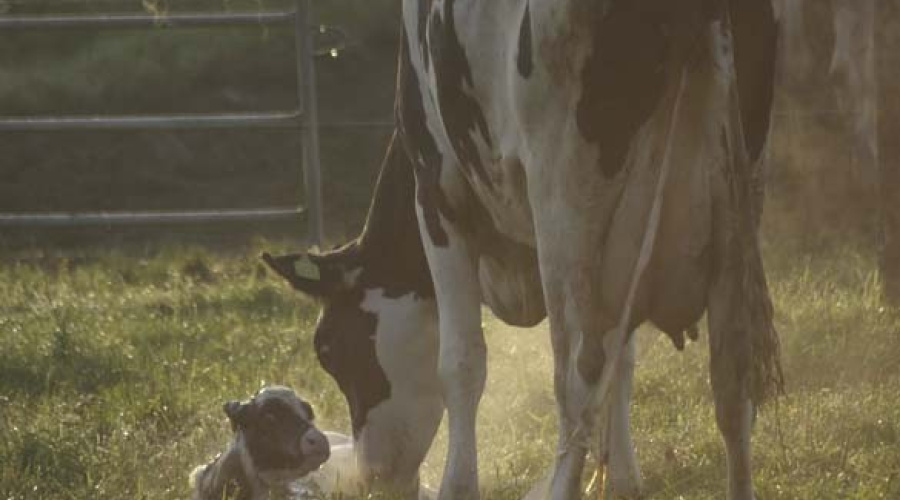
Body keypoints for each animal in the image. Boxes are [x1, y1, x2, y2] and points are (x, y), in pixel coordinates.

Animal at [264, 1, 783, 499]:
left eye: (330, 349)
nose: (373, 476)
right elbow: (625, 358)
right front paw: (624, 477)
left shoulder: (438, 196)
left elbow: (462, 361)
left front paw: (458, 485)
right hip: (737, 199)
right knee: (732, 378)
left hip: (563, 198)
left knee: (578, 373)